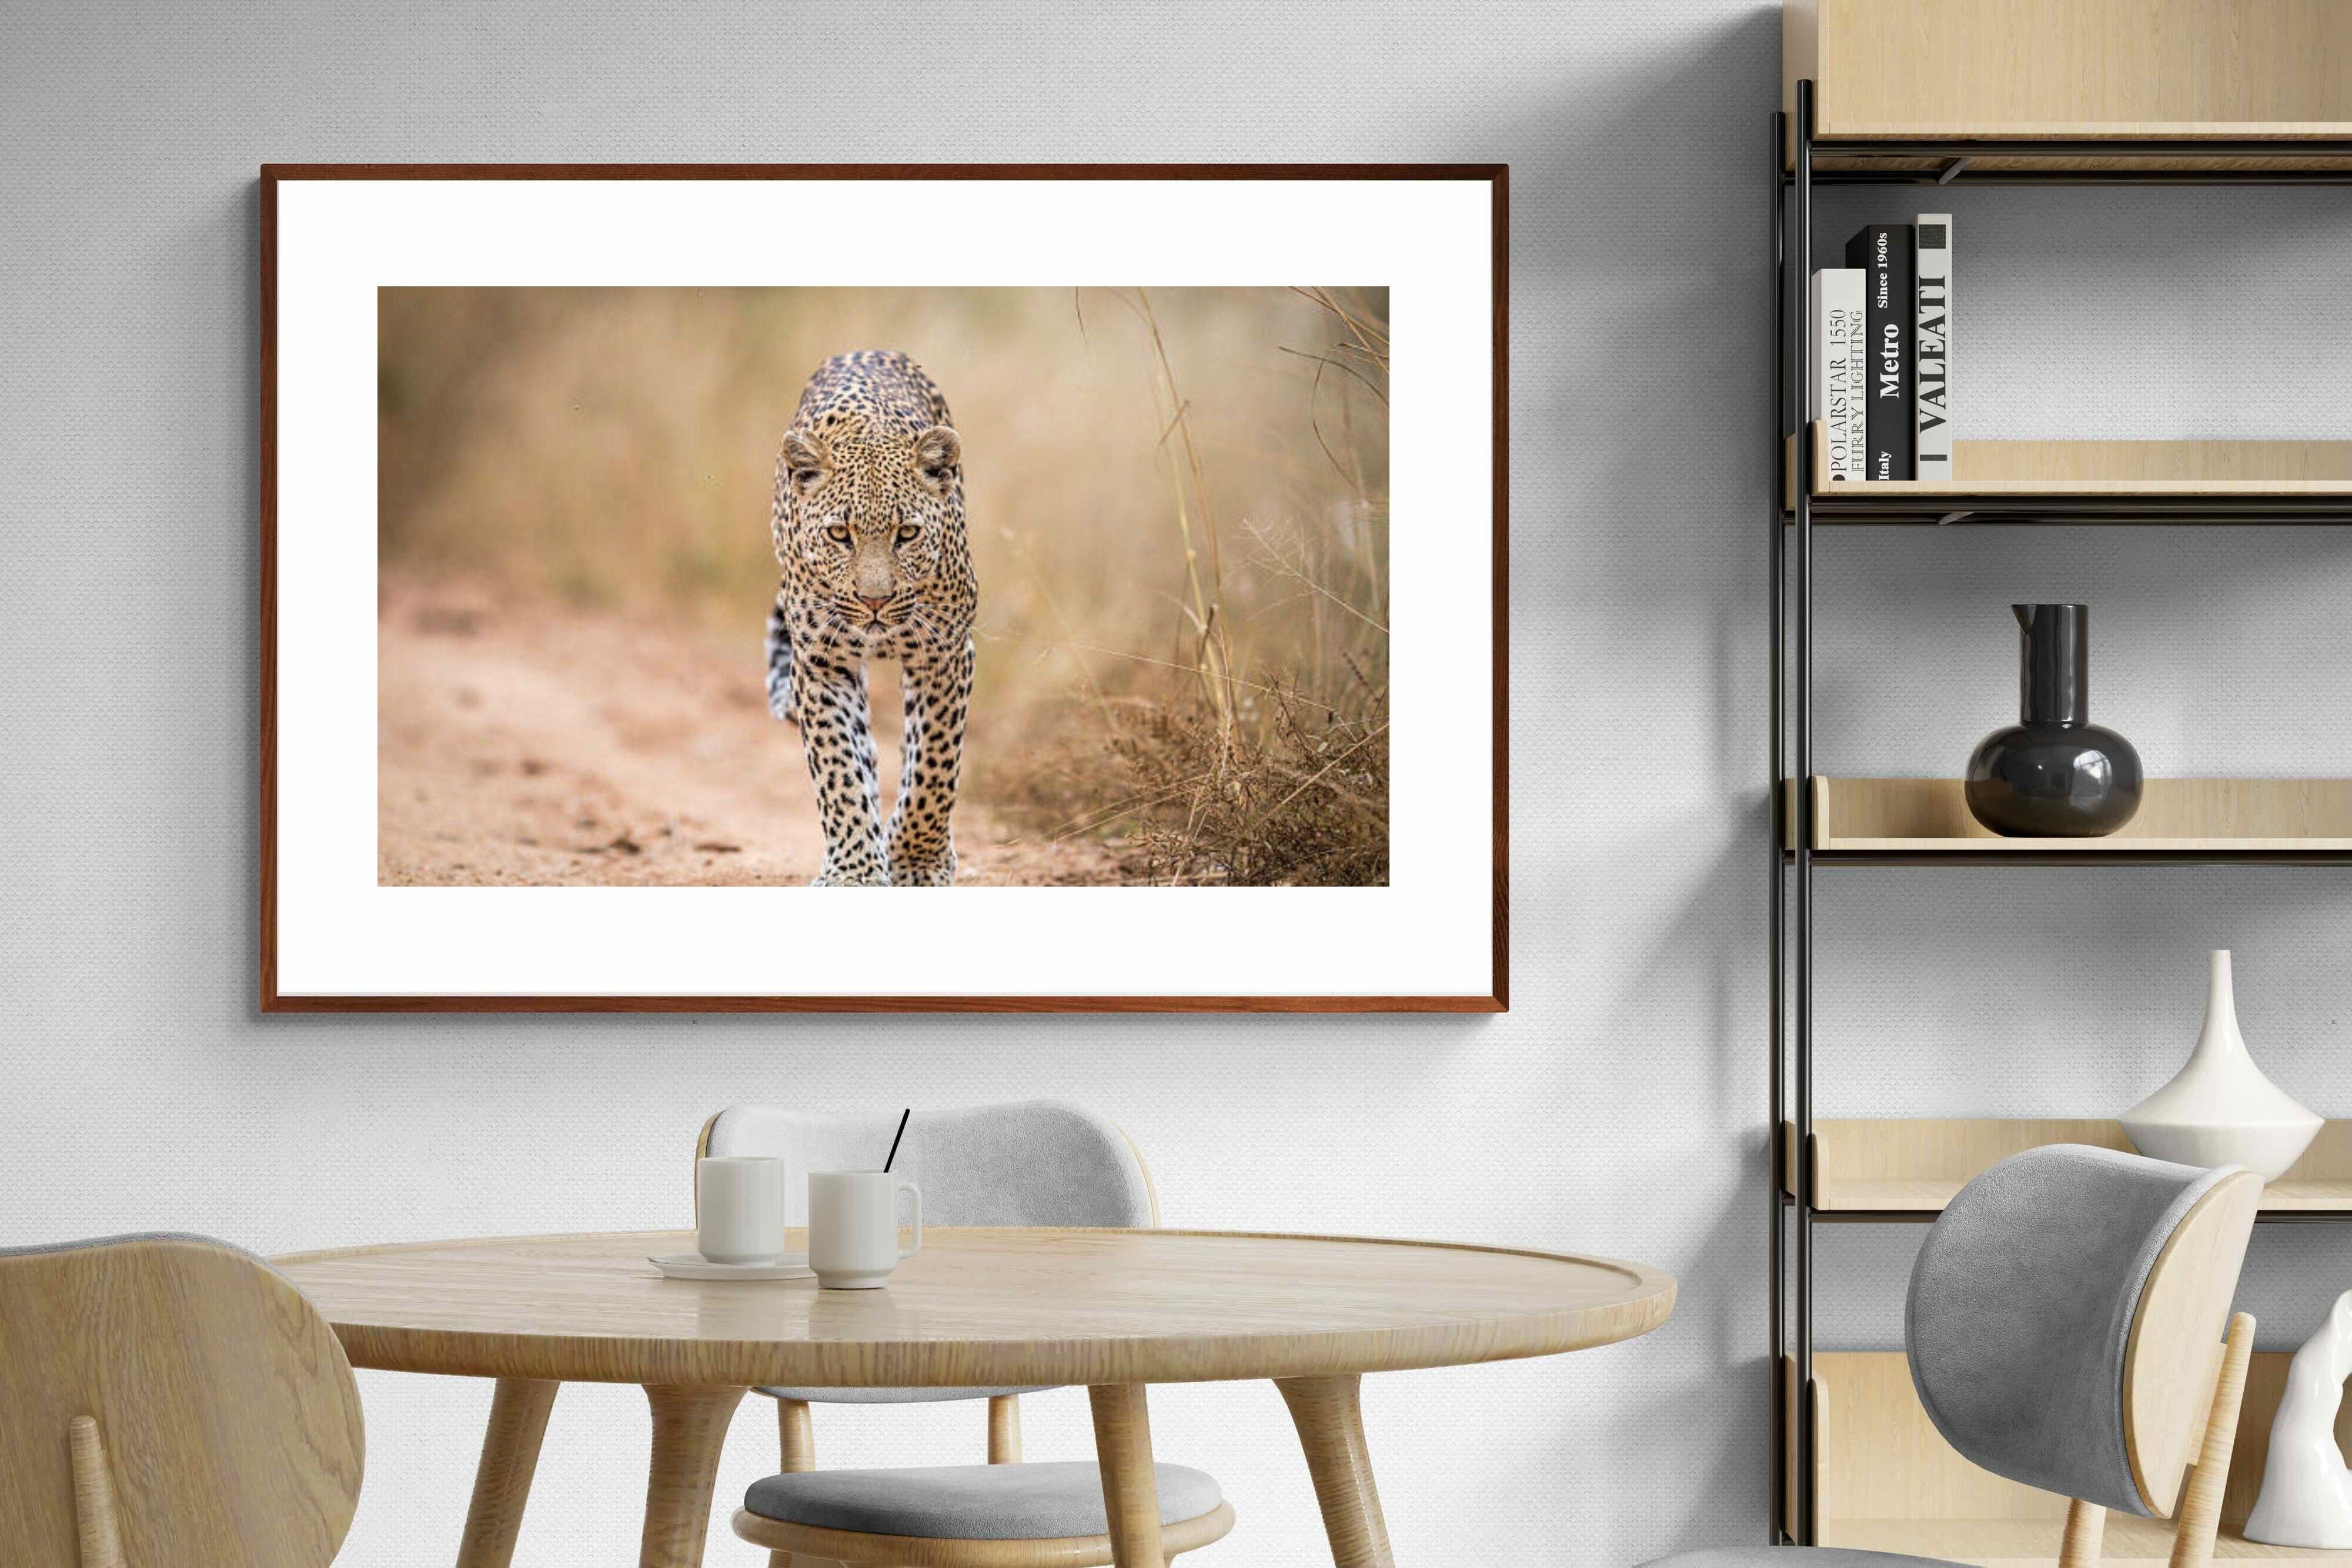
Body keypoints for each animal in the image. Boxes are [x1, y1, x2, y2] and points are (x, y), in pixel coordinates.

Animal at [763, 350, 977, 886]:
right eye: (840, 534)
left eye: (908, 533)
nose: (874, 600)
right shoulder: (821, 663)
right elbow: (839, 768)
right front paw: (855, 871)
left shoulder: (944, 654)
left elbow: (934, 764)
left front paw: (917, 861)